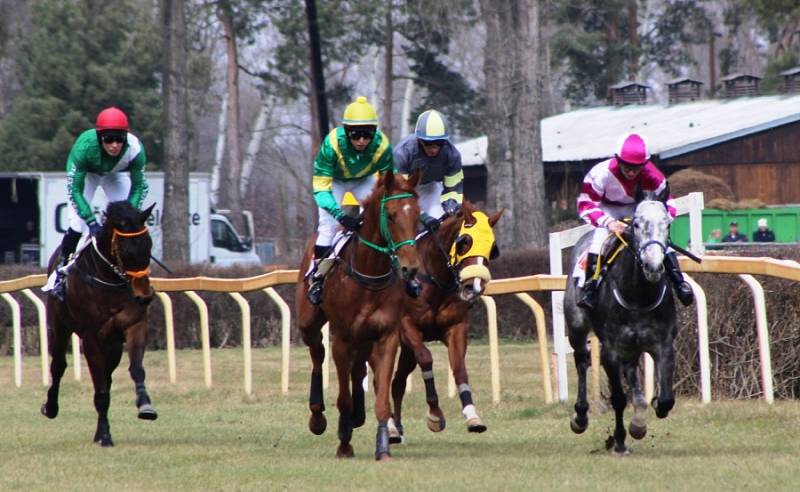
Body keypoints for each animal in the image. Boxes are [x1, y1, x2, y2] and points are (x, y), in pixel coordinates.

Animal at [41, 199, 157, 446]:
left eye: (149, 245)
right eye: (124, 250)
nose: (144, 296)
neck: (110, 280)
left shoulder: (134, 325)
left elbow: (136, 369)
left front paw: (145, 405)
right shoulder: (90, 336)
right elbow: (100, 391)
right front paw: (105, 436)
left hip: (112, 345)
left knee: (107, 375)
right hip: (59, 326)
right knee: (58, 366)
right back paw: (50, 407)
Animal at [296, 170, 424, 462]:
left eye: (417, 215)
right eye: (391, 215)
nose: (410, 269)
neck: (369, 274)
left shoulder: (386, 336)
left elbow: (382, 398)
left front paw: (383, 447)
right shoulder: (342, 338)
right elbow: (342, 397)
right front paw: (344, 444)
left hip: (364, 338)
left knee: (357, 368)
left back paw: (357, 415)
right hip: (308, 323)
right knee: (317, 355)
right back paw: (318, 416)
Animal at [386, 201, 500, 442]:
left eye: (492, 247)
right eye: (464, 242)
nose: (474, 287)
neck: (434, 280)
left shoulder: (456, 328)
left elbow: (459, 368)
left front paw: (472, 415)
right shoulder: (408, 326)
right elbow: (426, 358)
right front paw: (435, 414)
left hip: (406, 351)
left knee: (398, 382)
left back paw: (397, 427)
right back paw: (390, 427)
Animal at [564, 186, 676, 456]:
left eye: (667, 224)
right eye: (636, 224)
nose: (653, 265)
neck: (638, 295)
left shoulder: (663, 344)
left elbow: (666, 400)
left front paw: (641, 422)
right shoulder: (611, 351)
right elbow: (618, 398)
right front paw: (620, 440)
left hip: (632, 348)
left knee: (632, 376)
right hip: (577, 327)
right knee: (581, 361)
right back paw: (580, 417)